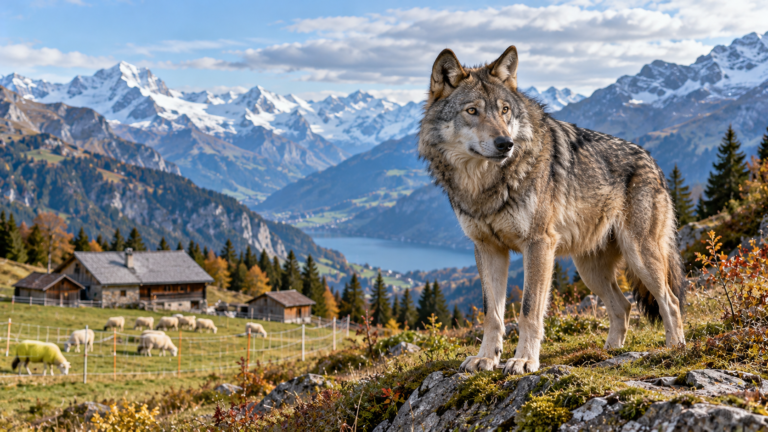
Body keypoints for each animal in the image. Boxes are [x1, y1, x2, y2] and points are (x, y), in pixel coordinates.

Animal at [418, 46, 686, 375]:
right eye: (472, 111)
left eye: (504, 110)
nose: (505, 143)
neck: (485, 185)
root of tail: (653, 161)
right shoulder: (487, 248)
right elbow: (492, 314)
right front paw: (486, 358)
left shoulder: (538, 244)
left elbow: (529, 310)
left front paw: (524, 360)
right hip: (590, 270)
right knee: (623, 306)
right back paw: (610, 350)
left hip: (640, 255)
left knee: (669, 300)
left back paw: (674, 348)